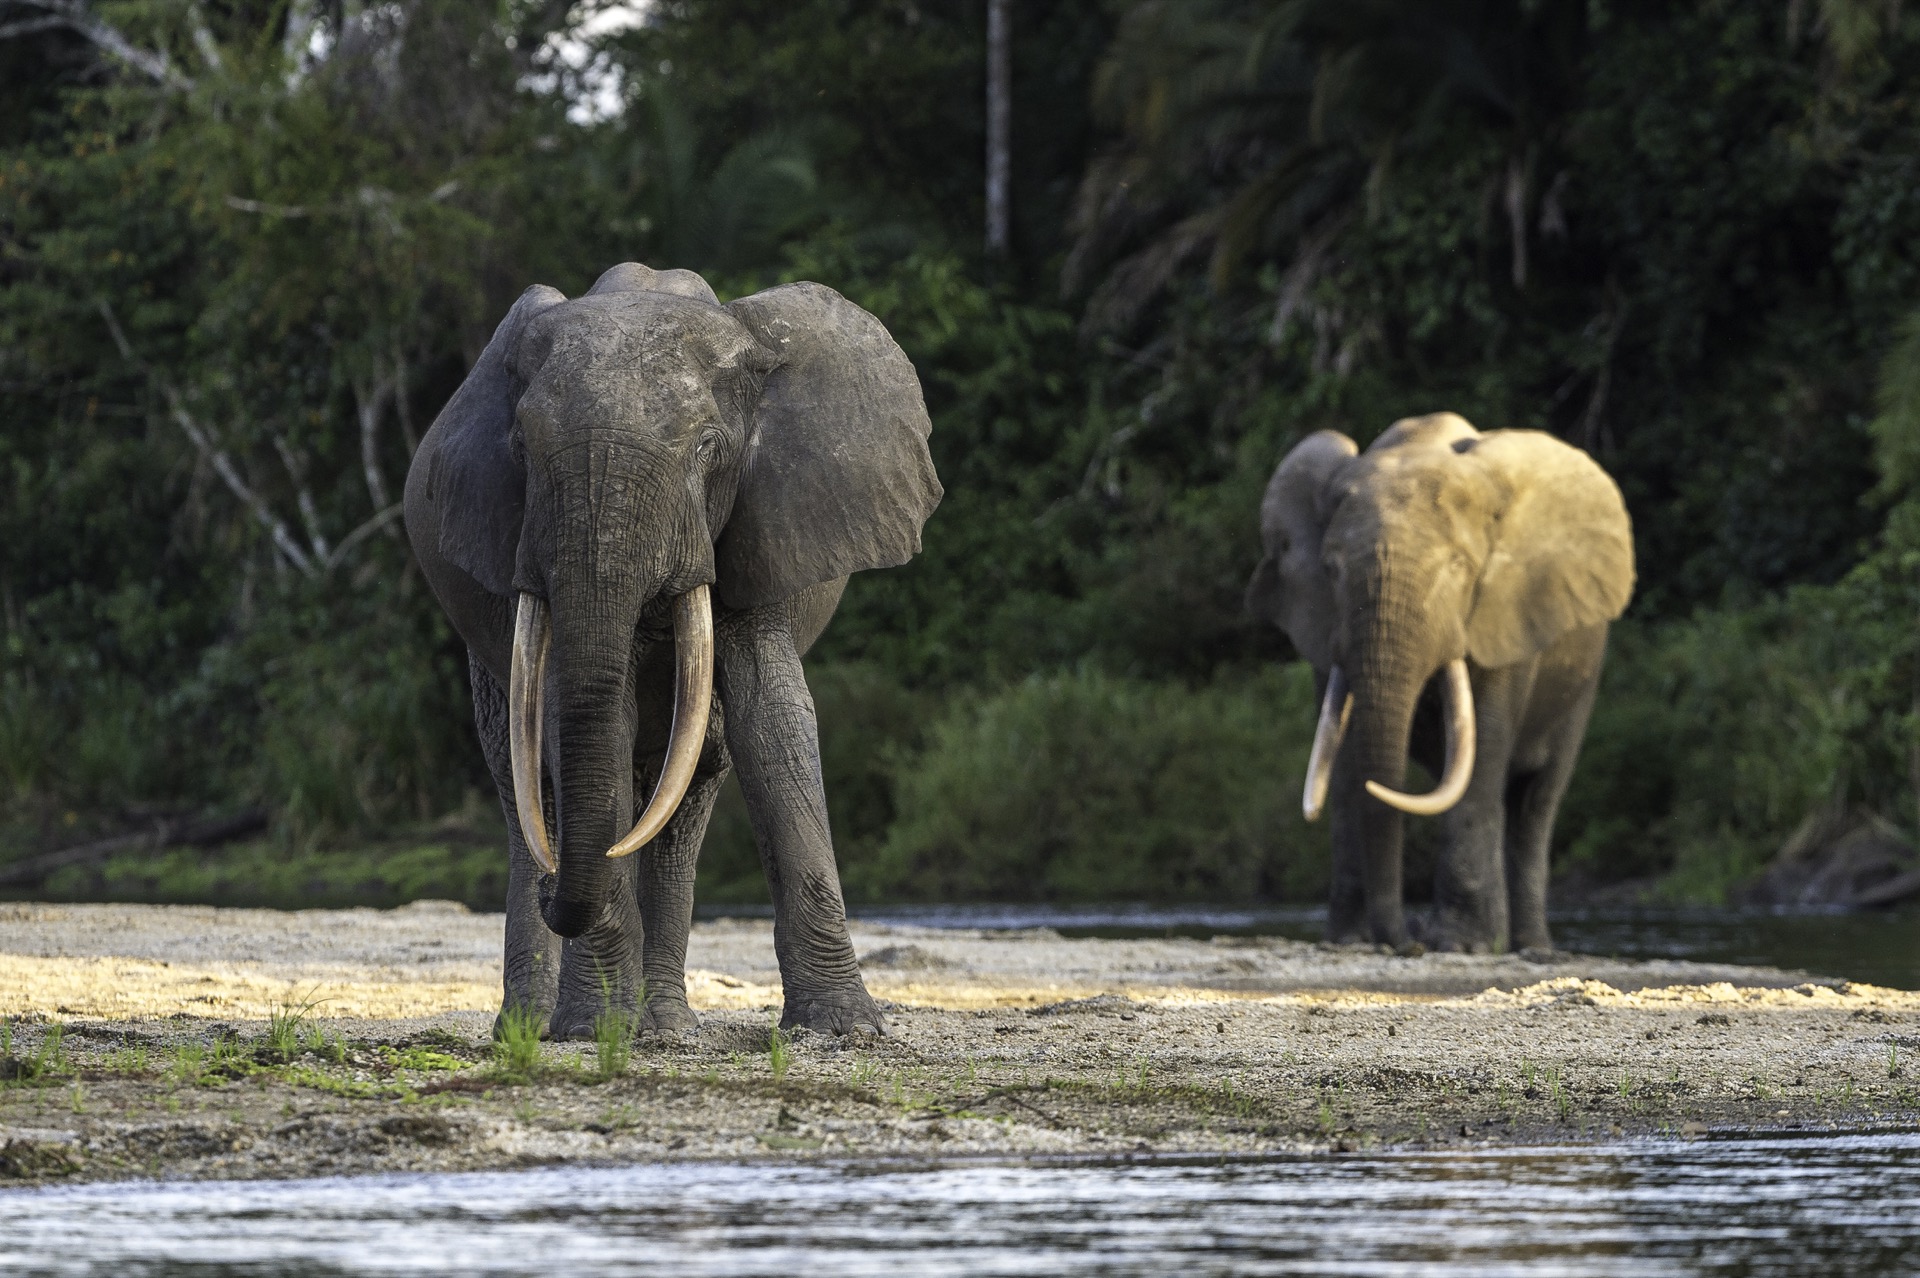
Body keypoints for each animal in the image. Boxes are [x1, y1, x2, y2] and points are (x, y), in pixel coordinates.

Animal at [407, 260, 944, 1036]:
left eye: (708, 450)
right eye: (522, 452)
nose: (555, 887)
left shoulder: (758, 521)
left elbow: (772, 717)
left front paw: (842, 1029)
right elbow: (581, 724)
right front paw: (593, 1029)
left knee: (688, 787)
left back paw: (663, 1028)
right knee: (524, 784)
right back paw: (537, 1026)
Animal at [1244, 412, 1635, 951]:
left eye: (1457, 566)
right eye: (1331, 568)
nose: (1407, 938)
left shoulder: (1503, 616)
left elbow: (1482, 755)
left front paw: (1463, 945)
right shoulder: (1324, 628)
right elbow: (1342, 767)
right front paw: (1349, 940)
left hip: (1582, 679)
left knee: (1536, 802)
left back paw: (1530, 947)